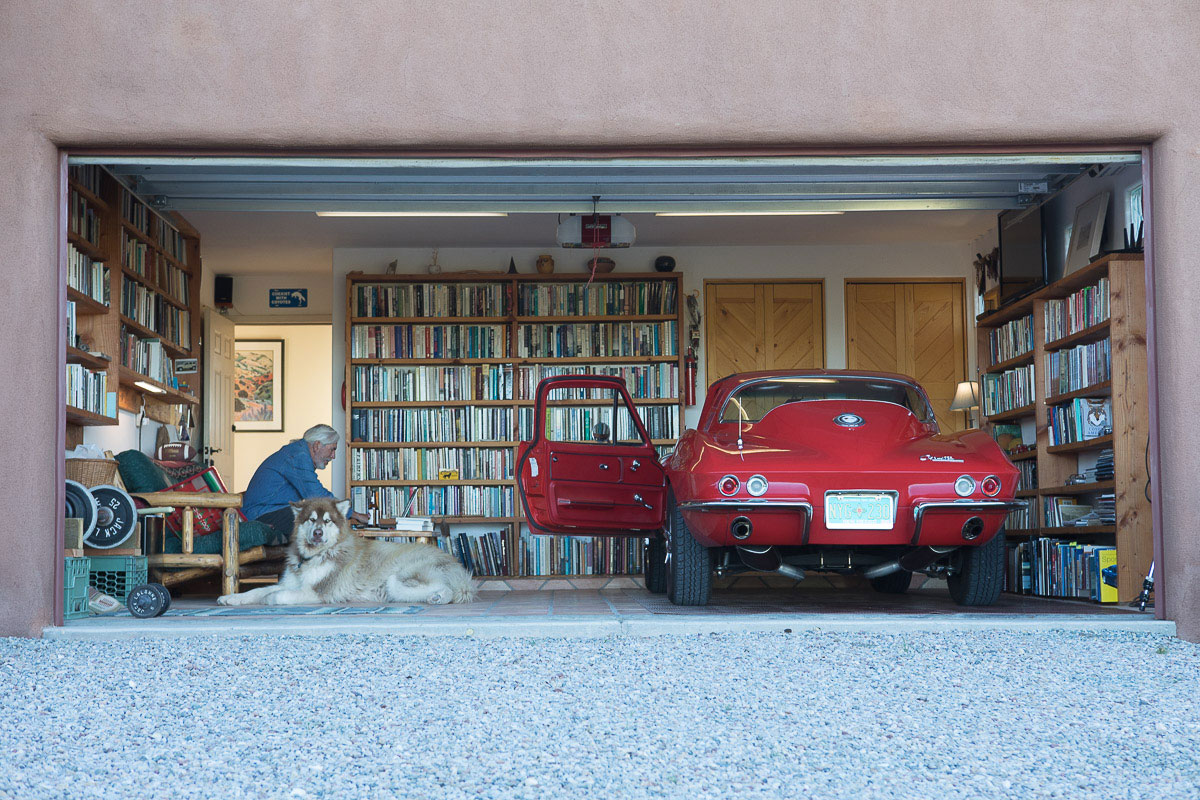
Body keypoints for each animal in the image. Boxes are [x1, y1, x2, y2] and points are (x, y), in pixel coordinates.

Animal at [218, 494, 475, 606]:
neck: (312, 557)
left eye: (327, 521)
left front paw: (268, 599)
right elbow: (259, 590)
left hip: (405, 576)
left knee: (445, 589)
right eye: (311, 520)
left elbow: (274, 596)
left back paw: (438, 597)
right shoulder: (290, 582)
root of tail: (461, 571)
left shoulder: (320, 592)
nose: (317, 533)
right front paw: (231, 598)